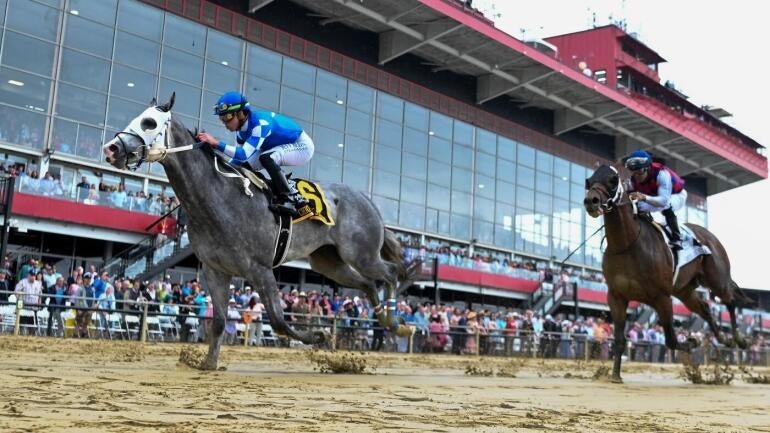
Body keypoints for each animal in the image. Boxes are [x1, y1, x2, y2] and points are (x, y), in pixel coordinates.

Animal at [102, 94, 413, 369]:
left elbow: (278, 320)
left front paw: (319, 334)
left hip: (360, 253)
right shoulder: (215, 270)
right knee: (368, 284)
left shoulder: (259, 268)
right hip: (329, 262)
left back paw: (397, 323)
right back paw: (388, 321)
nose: (111, 148)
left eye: (149, 123)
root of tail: (369, 202)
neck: (218, 198)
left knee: (389, 273)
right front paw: (208, 363)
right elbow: (219, 321)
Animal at [584, 164, 753, 382]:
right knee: (706, 308)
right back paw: (723, 338)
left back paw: (738, 339)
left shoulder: (662, 297)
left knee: (730, 301)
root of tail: (711, 237)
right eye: (589, 181)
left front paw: (693, 341)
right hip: (684, 290)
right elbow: (620, 339)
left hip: (717, 279)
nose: (591, 200)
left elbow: (671, 339)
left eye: (613, 180)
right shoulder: (616, 296)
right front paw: (615, 376)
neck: (627, 244)